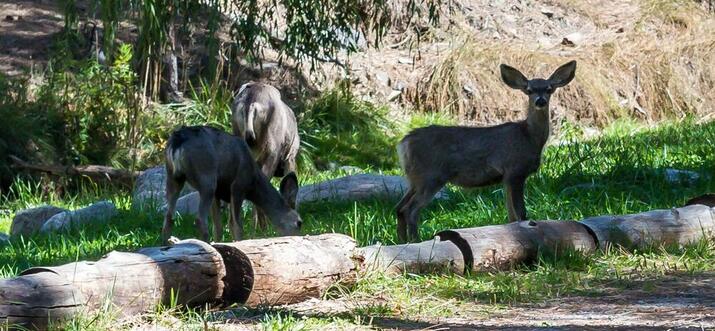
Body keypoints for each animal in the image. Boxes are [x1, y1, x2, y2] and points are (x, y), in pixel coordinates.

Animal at [162, 125, 302, 244]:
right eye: (299, 223)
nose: (298, 237)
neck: (254, 183)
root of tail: (178, 142)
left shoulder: (219, 194)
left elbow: (219, 226)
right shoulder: (238, 186)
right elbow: (236, 225)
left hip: (173, 176)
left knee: (169, 217)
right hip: (206, 176)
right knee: (200, 219)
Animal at [394, 60, 580, 241]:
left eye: (549, 89)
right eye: (529, 90)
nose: (540, 101)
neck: (529, 137)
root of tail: (404, 143)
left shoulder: (506, 178)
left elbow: (512, 217)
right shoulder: (515, 170)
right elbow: (521, 214)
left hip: (415, 178)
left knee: (399, 207)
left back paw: (402, 241)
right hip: (432, 175)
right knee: (411, 209)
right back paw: (415, 240)